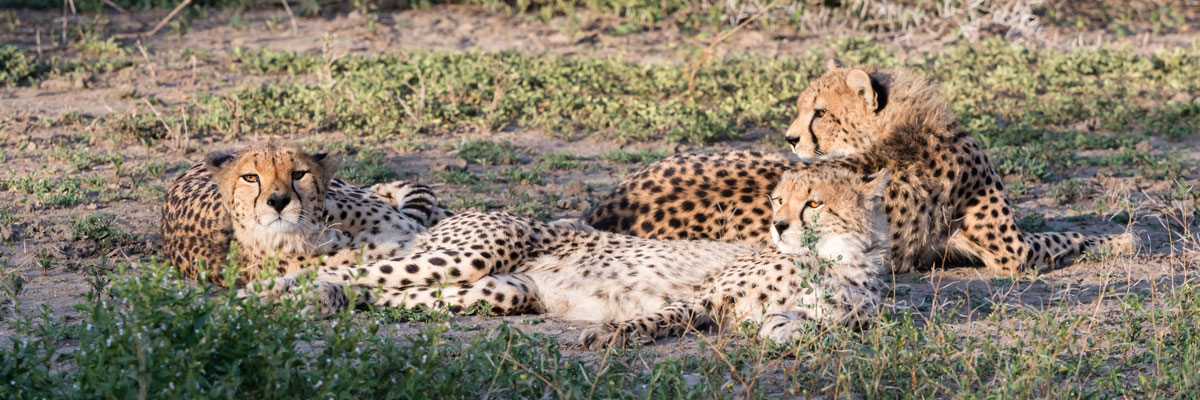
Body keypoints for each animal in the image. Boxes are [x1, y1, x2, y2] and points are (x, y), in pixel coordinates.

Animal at [250, 167, 891, 348]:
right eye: (779, 200)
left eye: (813, 203)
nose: (779, 225)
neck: (838, 262)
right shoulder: (707, 297)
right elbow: (666, 317)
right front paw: (611, 336)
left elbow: (823, 323)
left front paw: (790, 326)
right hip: (469, 255)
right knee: (348, 268)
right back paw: (267, 296)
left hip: (503, 288)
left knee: (383, 291)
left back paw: (327, 300)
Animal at [585, 60, 1137, 275]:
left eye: (819, 112)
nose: (790, 138)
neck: (898, 127)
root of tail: (602, 212)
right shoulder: (1012, 252)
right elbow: (1069, 234)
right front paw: (1125, 239)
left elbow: (1063, 231)